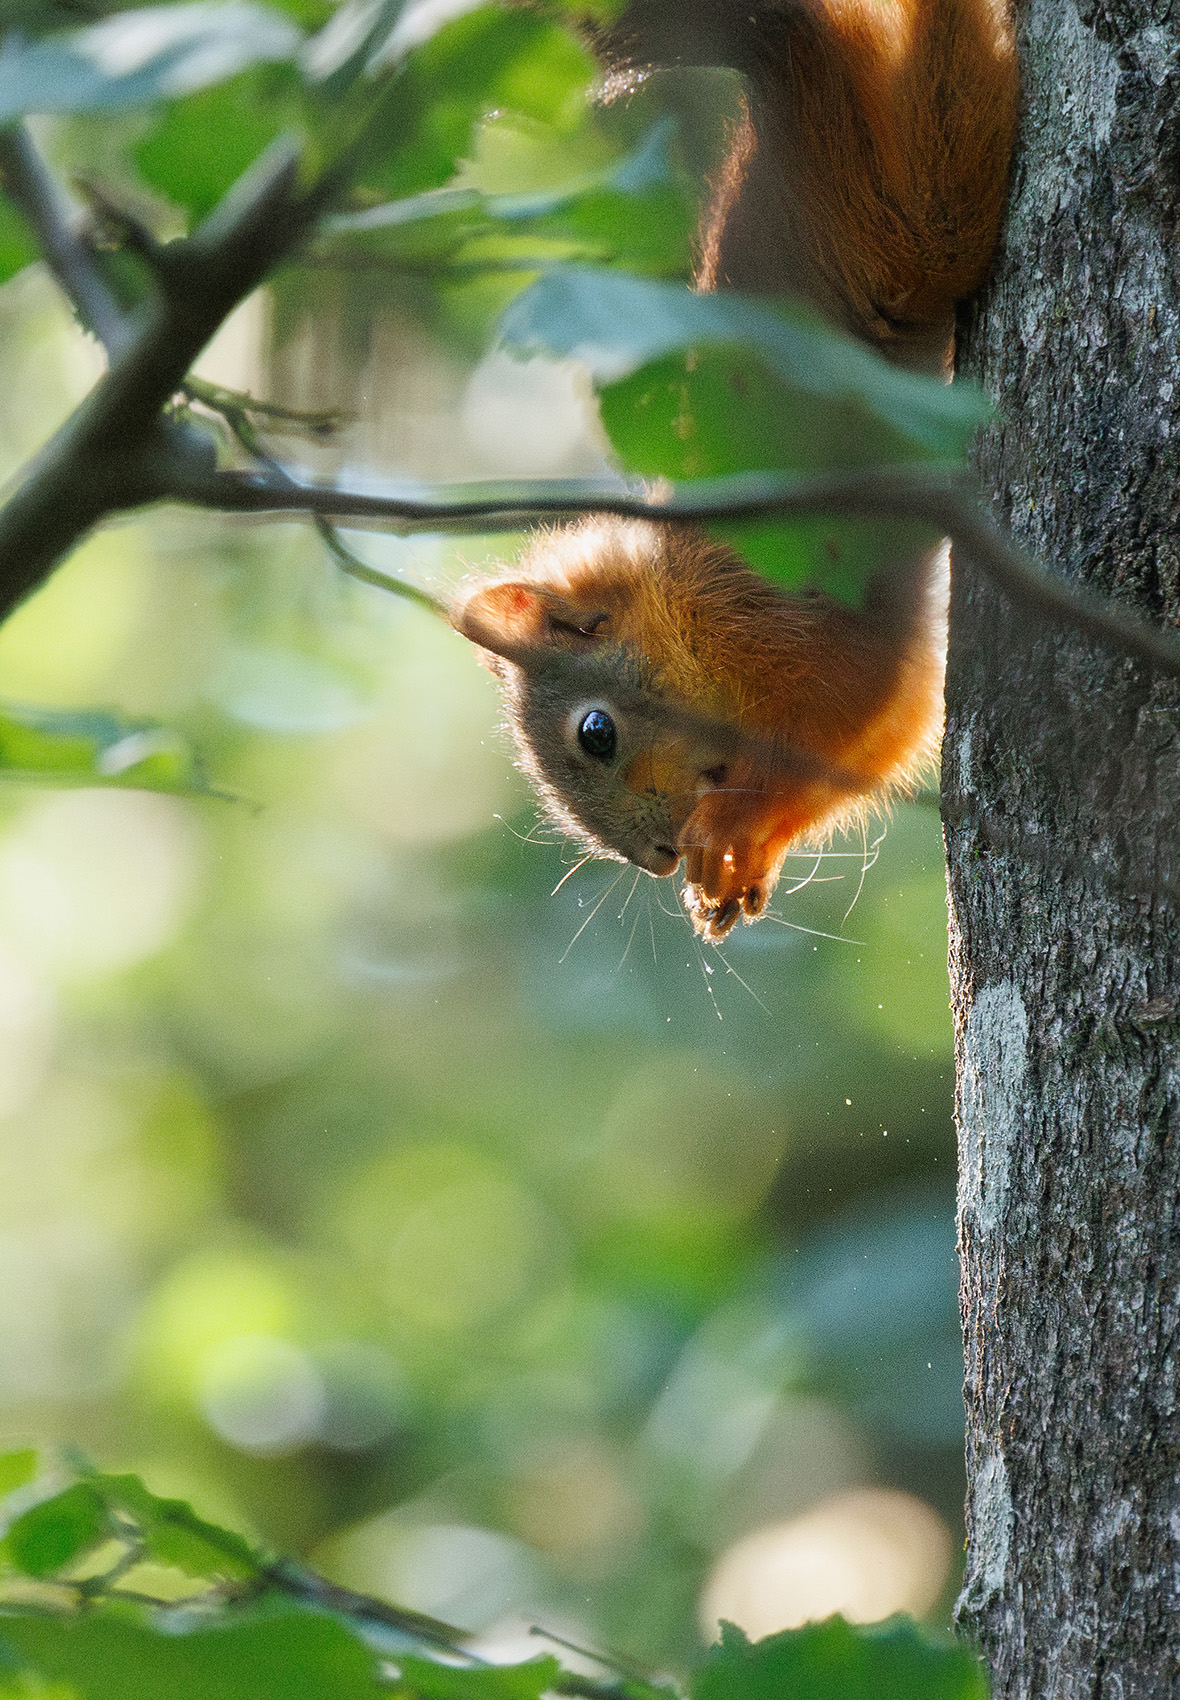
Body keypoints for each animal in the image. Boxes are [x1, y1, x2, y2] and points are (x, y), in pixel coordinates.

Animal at [452, 0, 1020, 945]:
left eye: (595, 732)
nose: (654, 856)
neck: (678, 603)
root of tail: (781, 82)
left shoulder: (773, 618)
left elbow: (843, 709)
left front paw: (730, 826)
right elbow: (872, 743)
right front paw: (739, 866)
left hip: (911, 226)